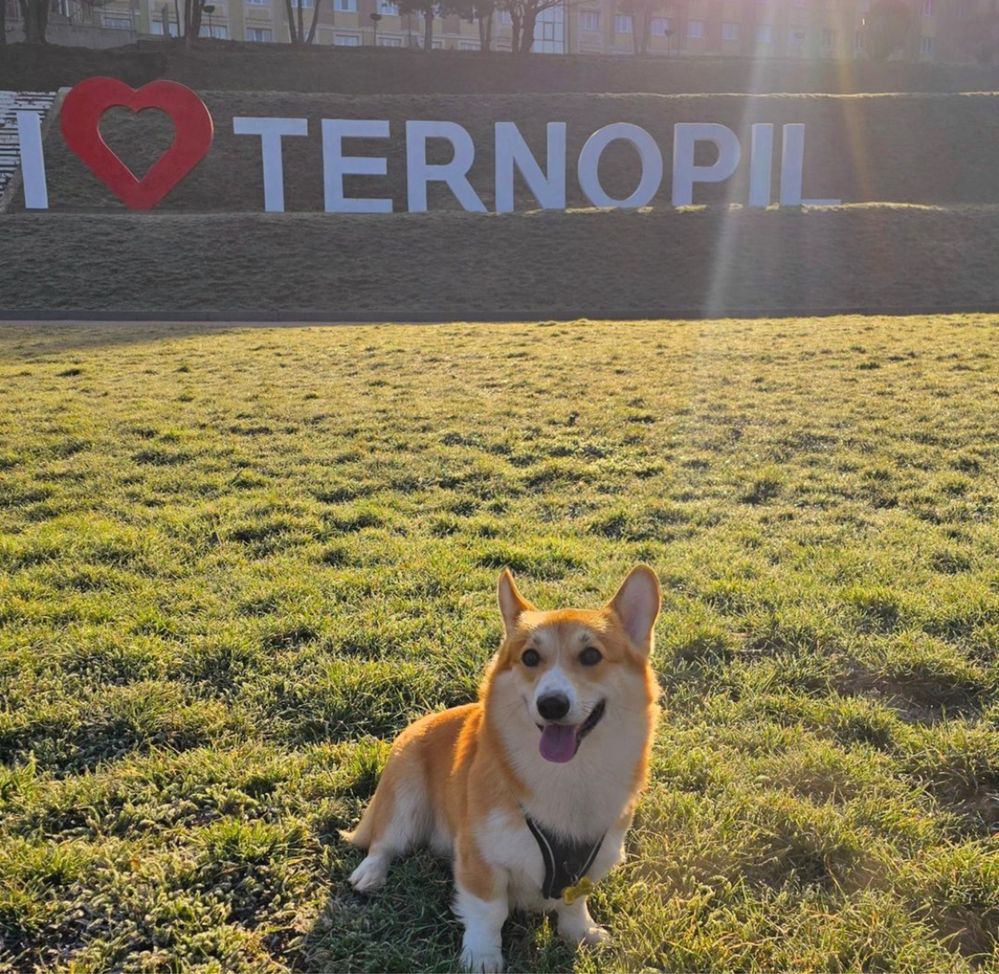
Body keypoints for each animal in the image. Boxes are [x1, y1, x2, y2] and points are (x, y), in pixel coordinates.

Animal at [340, 568, 660, 972]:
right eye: (530, 657)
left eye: (591, 656)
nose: (551, 704)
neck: (569, 775)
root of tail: (419, 722)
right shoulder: (481, 857)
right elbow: (488, 912)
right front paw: (482, 956)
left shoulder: (589, 860)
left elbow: (574, 903)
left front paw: (581, 934)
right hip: (404, 798)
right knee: (384, 842)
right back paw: (370, 873)